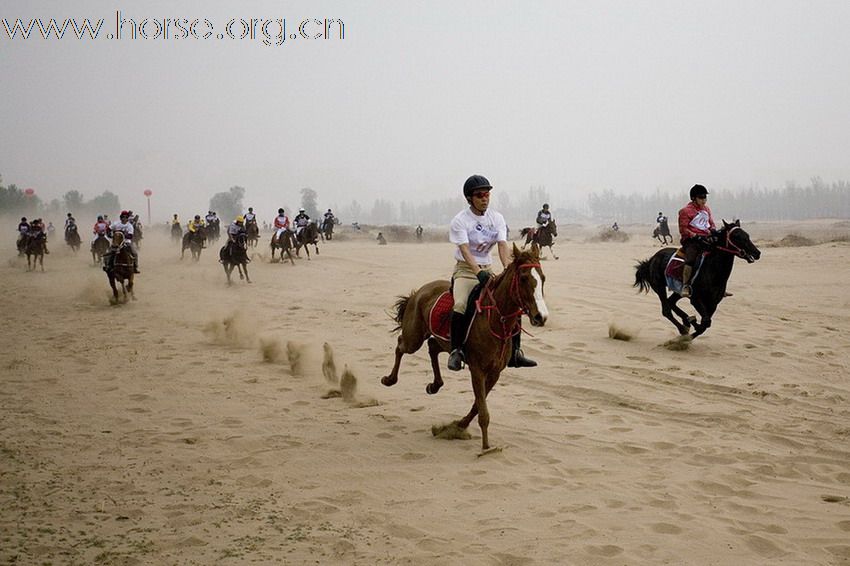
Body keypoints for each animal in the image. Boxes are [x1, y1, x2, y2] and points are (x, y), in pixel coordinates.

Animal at [380, 243, 548, 452]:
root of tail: (420, 291)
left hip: (443, 341)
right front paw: (486, 448)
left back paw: (435, 385)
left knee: (432, 347)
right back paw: (389, 379)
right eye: (524, 278)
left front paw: (458, 426)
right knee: (400, 345)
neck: (494, 320)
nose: (541, 317)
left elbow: (478, 405)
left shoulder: (495, 372)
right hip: (414, 337)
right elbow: (483, 410)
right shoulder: (477, 370)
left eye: (542, 278)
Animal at [628, 221, 760, 338]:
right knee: (666, 310)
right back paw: (683, 327)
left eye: (747, 235)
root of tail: (651, 260)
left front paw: (691, 325)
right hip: (659, 286)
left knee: (671, 302)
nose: (757, 253)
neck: (713, 272)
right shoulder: (696, 300)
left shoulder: (713, 303)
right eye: (737, 237)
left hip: (678, 291)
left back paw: (686, 320)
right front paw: (682, 340)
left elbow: (705, 324)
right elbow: (705, 322)